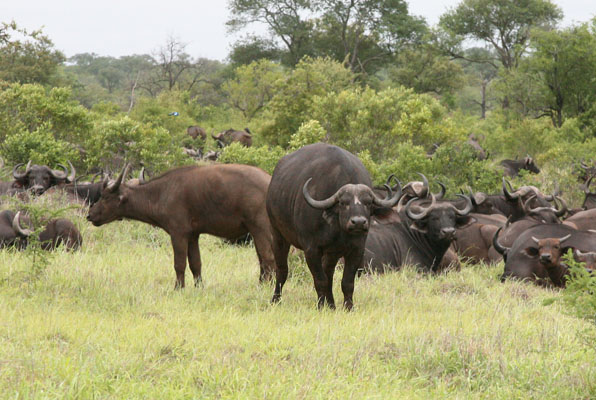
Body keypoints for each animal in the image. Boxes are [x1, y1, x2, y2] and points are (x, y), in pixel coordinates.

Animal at [86, 162, 278, 288]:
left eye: (105, 197)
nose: (90, 215)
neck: (161, 193)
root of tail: (269, 181)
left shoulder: (178, 233)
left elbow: (179, 264)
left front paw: (178, 288)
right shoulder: (193, 235)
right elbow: (196, 264)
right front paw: (199, 288)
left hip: (259, 229)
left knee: (268, 259)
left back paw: (264, 288)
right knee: (263, 260)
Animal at [266, 144, 400, 310]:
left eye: (368, 203)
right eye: (343, 203)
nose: (358, 222)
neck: (338, 229)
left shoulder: (357, 249)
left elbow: (347, 282)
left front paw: (348, 307)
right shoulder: (311, 250)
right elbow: (320, 280)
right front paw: (320, 306)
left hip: (332, 252)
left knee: (329, 273)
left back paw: (331, 304)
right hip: (278, 234)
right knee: (282, 269)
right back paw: (276, 299)